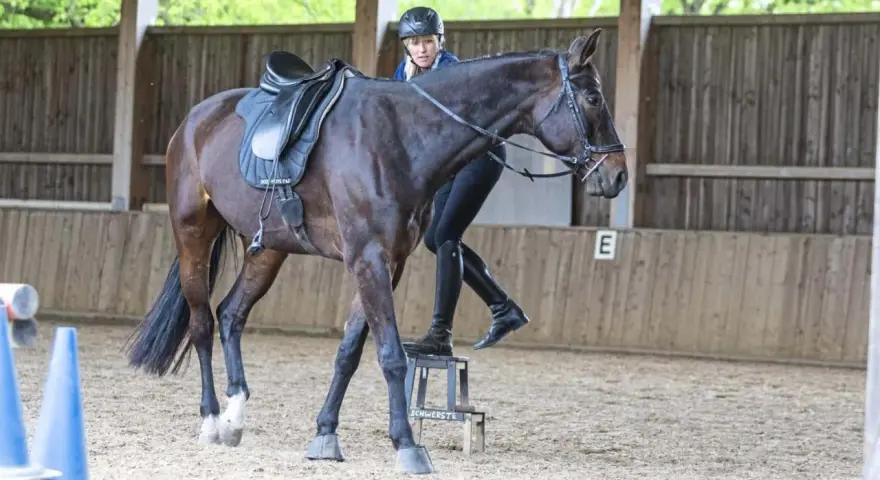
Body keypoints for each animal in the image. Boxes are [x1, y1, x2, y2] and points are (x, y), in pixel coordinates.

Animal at [125, 28, 627, 474]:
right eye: (593, 99)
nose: (618, 175)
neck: (404, 136)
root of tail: (197, 118)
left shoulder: (389, 262)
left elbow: (349, 351)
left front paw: (326, 434)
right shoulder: (368, 259)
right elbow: (390, 355)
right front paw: (407, 446)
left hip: (268, 248)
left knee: (231, 314)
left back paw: (234, 416)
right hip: (193, 233)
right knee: (202, 323)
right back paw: (212, 419)